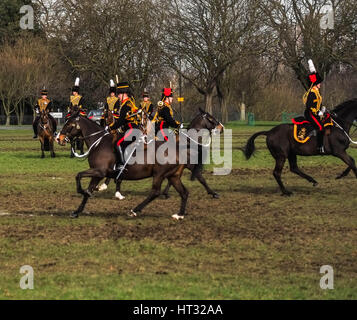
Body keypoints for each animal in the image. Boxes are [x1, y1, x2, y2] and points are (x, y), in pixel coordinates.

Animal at [56, 109, 221, 219]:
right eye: (210, 118)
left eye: (69, 124)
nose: (59, 138)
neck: (98, 142)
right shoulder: (97, 174)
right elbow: (85, 187)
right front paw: (77, 210)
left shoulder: (99, 171)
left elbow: (79, 176)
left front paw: (83, 191)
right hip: (173, 176)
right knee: (183, 193)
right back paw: (179, 214)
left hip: (159, 174)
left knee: (155, 192)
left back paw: (135, 210)